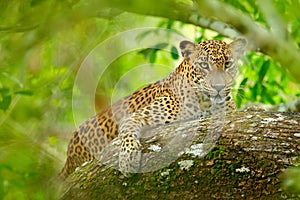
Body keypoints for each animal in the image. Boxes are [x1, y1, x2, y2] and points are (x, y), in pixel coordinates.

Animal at [59, 38, 247, 178]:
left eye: (228, 64)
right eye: (204, 65)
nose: (219, 87)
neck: (205, 101)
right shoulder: (138, 116)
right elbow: (127, 132)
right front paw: (128, 159)